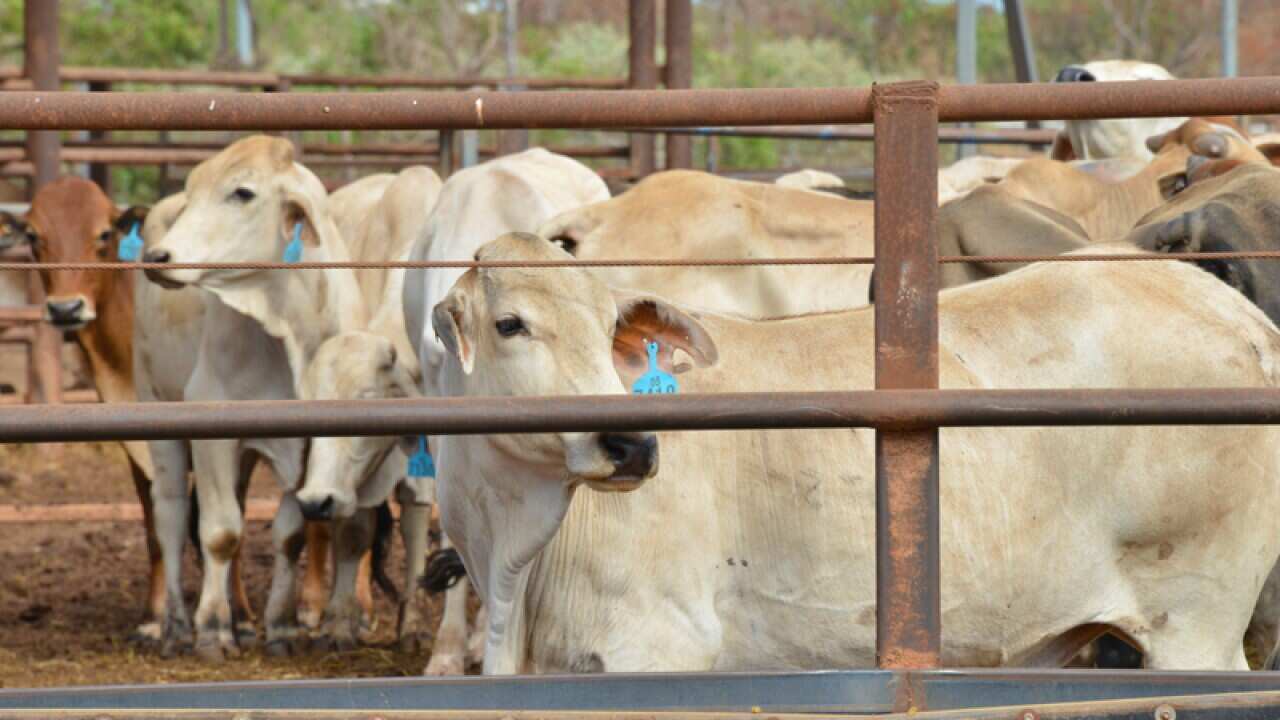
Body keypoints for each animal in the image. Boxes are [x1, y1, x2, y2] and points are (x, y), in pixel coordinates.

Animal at [423, 232, 1280, 674]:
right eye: (510, 323)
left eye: (610, 329)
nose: (631, 442)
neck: (514, 564)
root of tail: (1237, 314)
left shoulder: (653, 653)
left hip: (1195, 624)